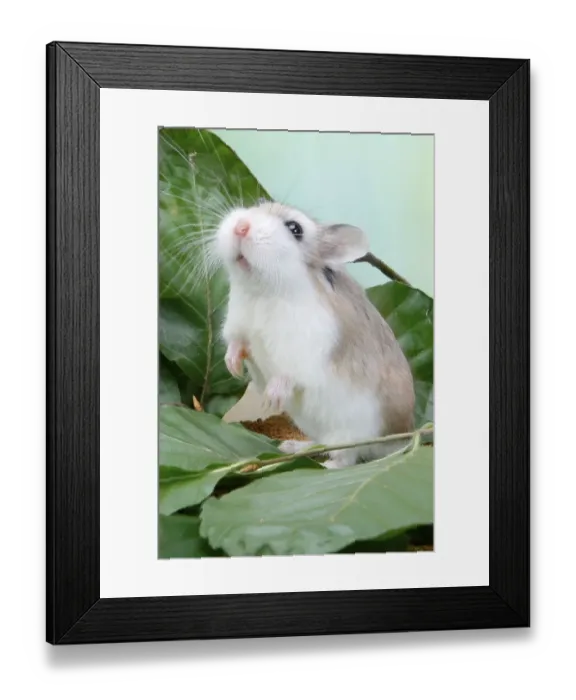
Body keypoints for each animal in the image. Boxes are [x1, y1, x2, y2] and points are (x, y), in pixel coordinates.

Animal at [213, 200, 416, 469]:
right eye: (258, 205)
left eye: (295, 229)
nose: (241, 226)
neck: (262, 289)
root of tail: (404, 436)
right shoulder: (238, 326)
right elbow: (237, 344)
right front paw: (233, 368)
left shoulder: (304, 351)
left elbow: (287, 375)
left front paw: (270, 400)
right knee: (321, 444)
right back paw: (290, 446)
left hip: (351, 432)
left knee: (345, 459)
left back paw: (324, 465)